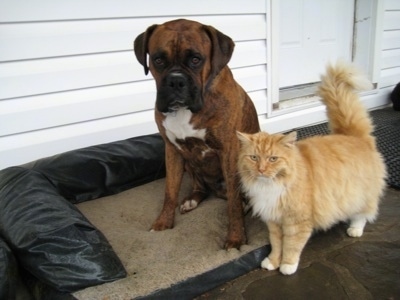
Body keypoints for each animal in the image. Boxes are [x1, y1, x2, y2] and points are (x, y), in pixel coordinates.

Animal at [134, 18, 260, 248]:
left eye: (195, 59)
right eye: (158, 59)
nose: (176, 80)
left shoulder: (228, 152)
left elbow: (234, 203)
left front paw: (236, 238)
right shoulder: (172, 151)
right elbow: (170, 191)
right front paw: (163, 223)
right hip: (188, 164)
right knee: (200, 187)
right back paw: (192, 200)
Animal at [236, 62, 386, 276]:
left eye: (273, 159)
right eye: (254, 158)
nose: (262, 170)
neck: (272, 186)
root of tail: (354, 136)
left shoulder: (296, 222)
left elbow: (291, 246)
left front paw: (287, 266)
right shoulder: (274, 222)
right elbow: (276, 245)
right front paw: (272, 262)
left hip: (359, 195)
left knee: (364, 214)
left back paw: (355, 229)